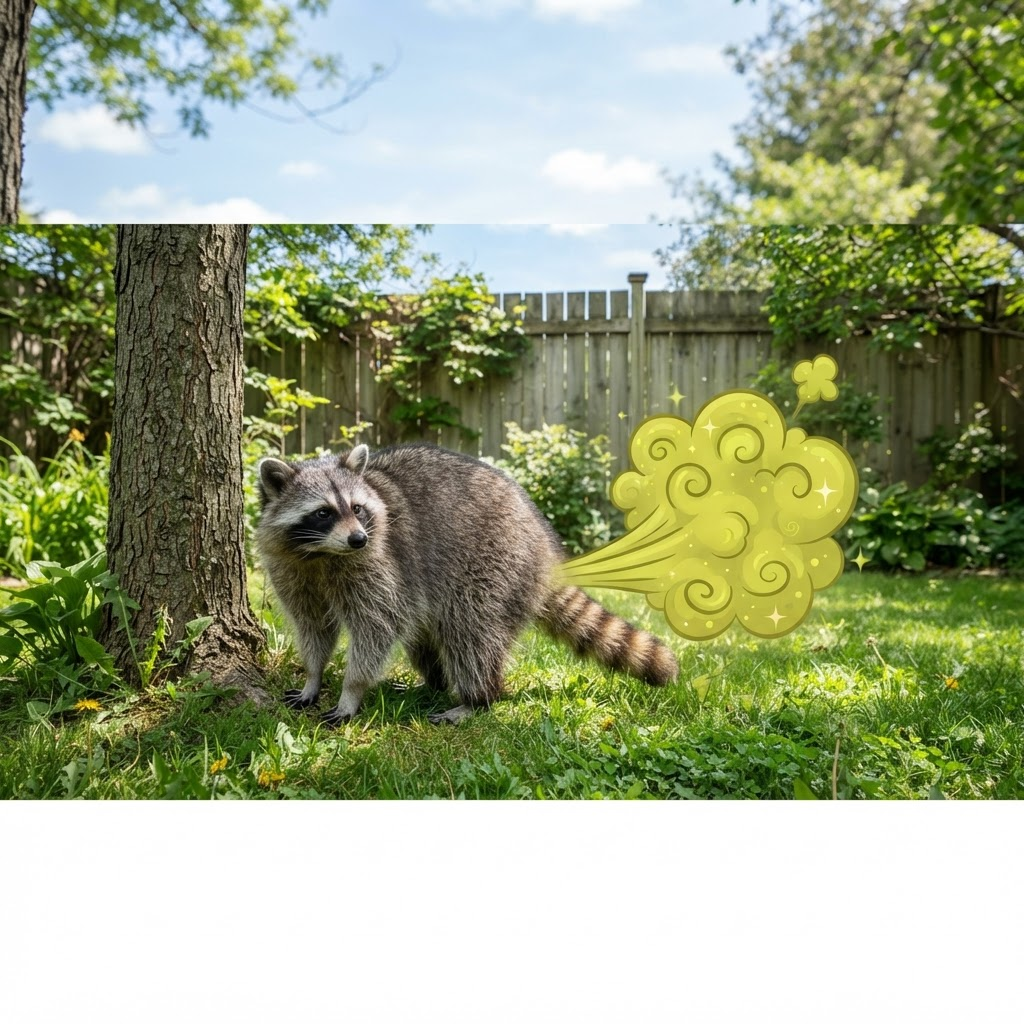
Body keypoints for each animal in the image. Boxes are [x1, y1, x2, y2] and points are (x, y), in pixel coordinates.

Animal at [256, 442, 677, 725]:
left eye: (357, 508)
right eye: (323, 512)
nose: (358, 539)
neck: (322, 554)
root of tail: (543, 546)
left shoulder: (381, 562)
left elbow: (377, 626)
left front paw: (351, 691)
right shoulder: (292, 569)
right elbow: (314, 626)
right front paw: (313, 677)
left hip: (495, 564)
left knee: (471, 634)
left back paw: (476, 698)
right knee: (424, 639)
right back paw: (434, 683)